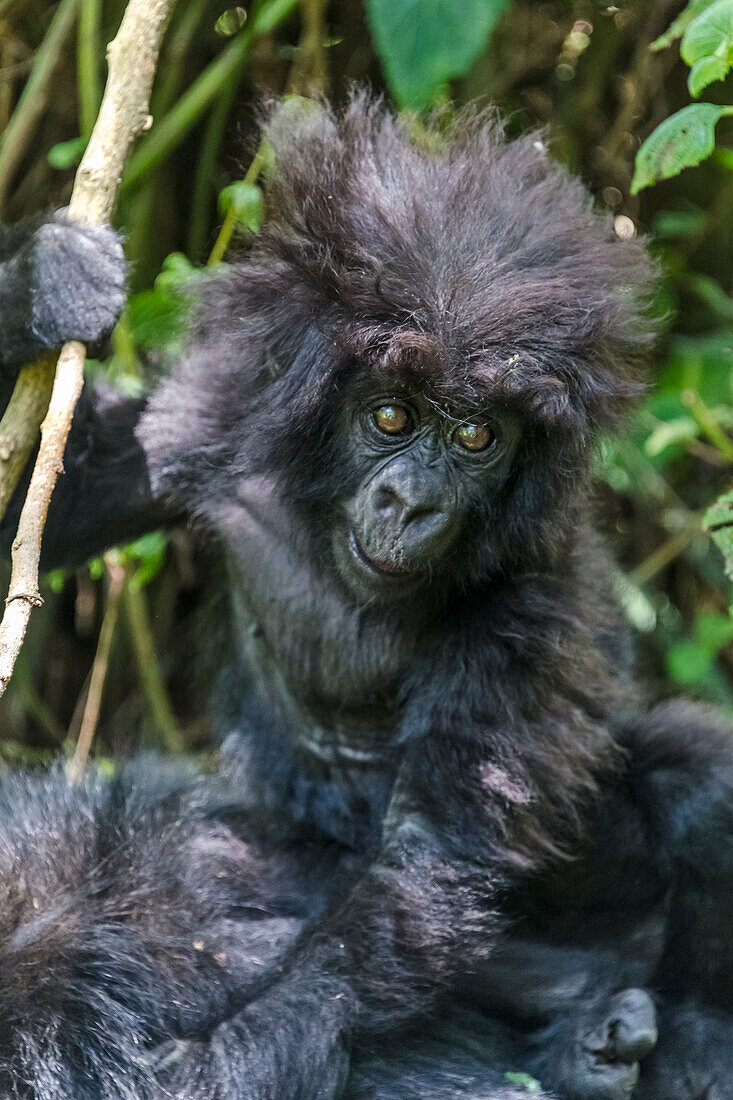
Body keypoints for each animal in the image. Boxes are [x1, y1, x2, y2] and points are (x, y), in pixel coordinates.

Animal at [0, 99, 726, 1095]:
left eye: (476, 436)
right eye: (390, 416)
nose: (411, 502)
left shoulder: (525, 601)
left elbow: (426, 865)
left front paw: (234, 1052)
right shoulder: (221, 414)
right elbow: (52, 503)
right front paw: (39, 288)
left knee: (696, 777)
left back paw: (674, 1034)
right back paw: (584, 1040)